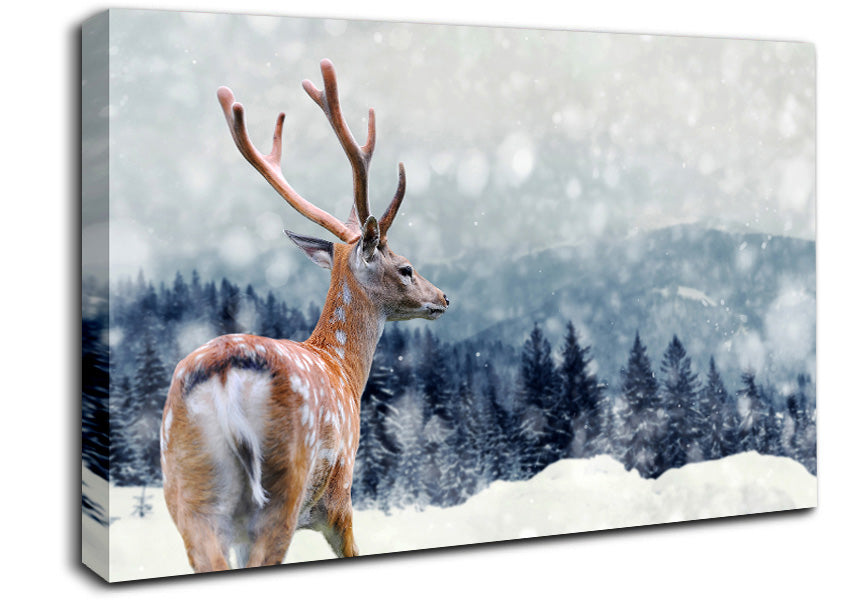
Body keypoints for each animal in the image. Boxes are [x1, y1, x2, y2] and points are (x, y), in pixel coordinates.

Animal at [160, 59, 449, 573]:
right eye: (406, 267)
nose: (444, 298)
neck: (345, 371)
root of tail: (224, 376)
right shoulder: (339, 498)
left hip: (187, 491)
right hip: (283, 488)